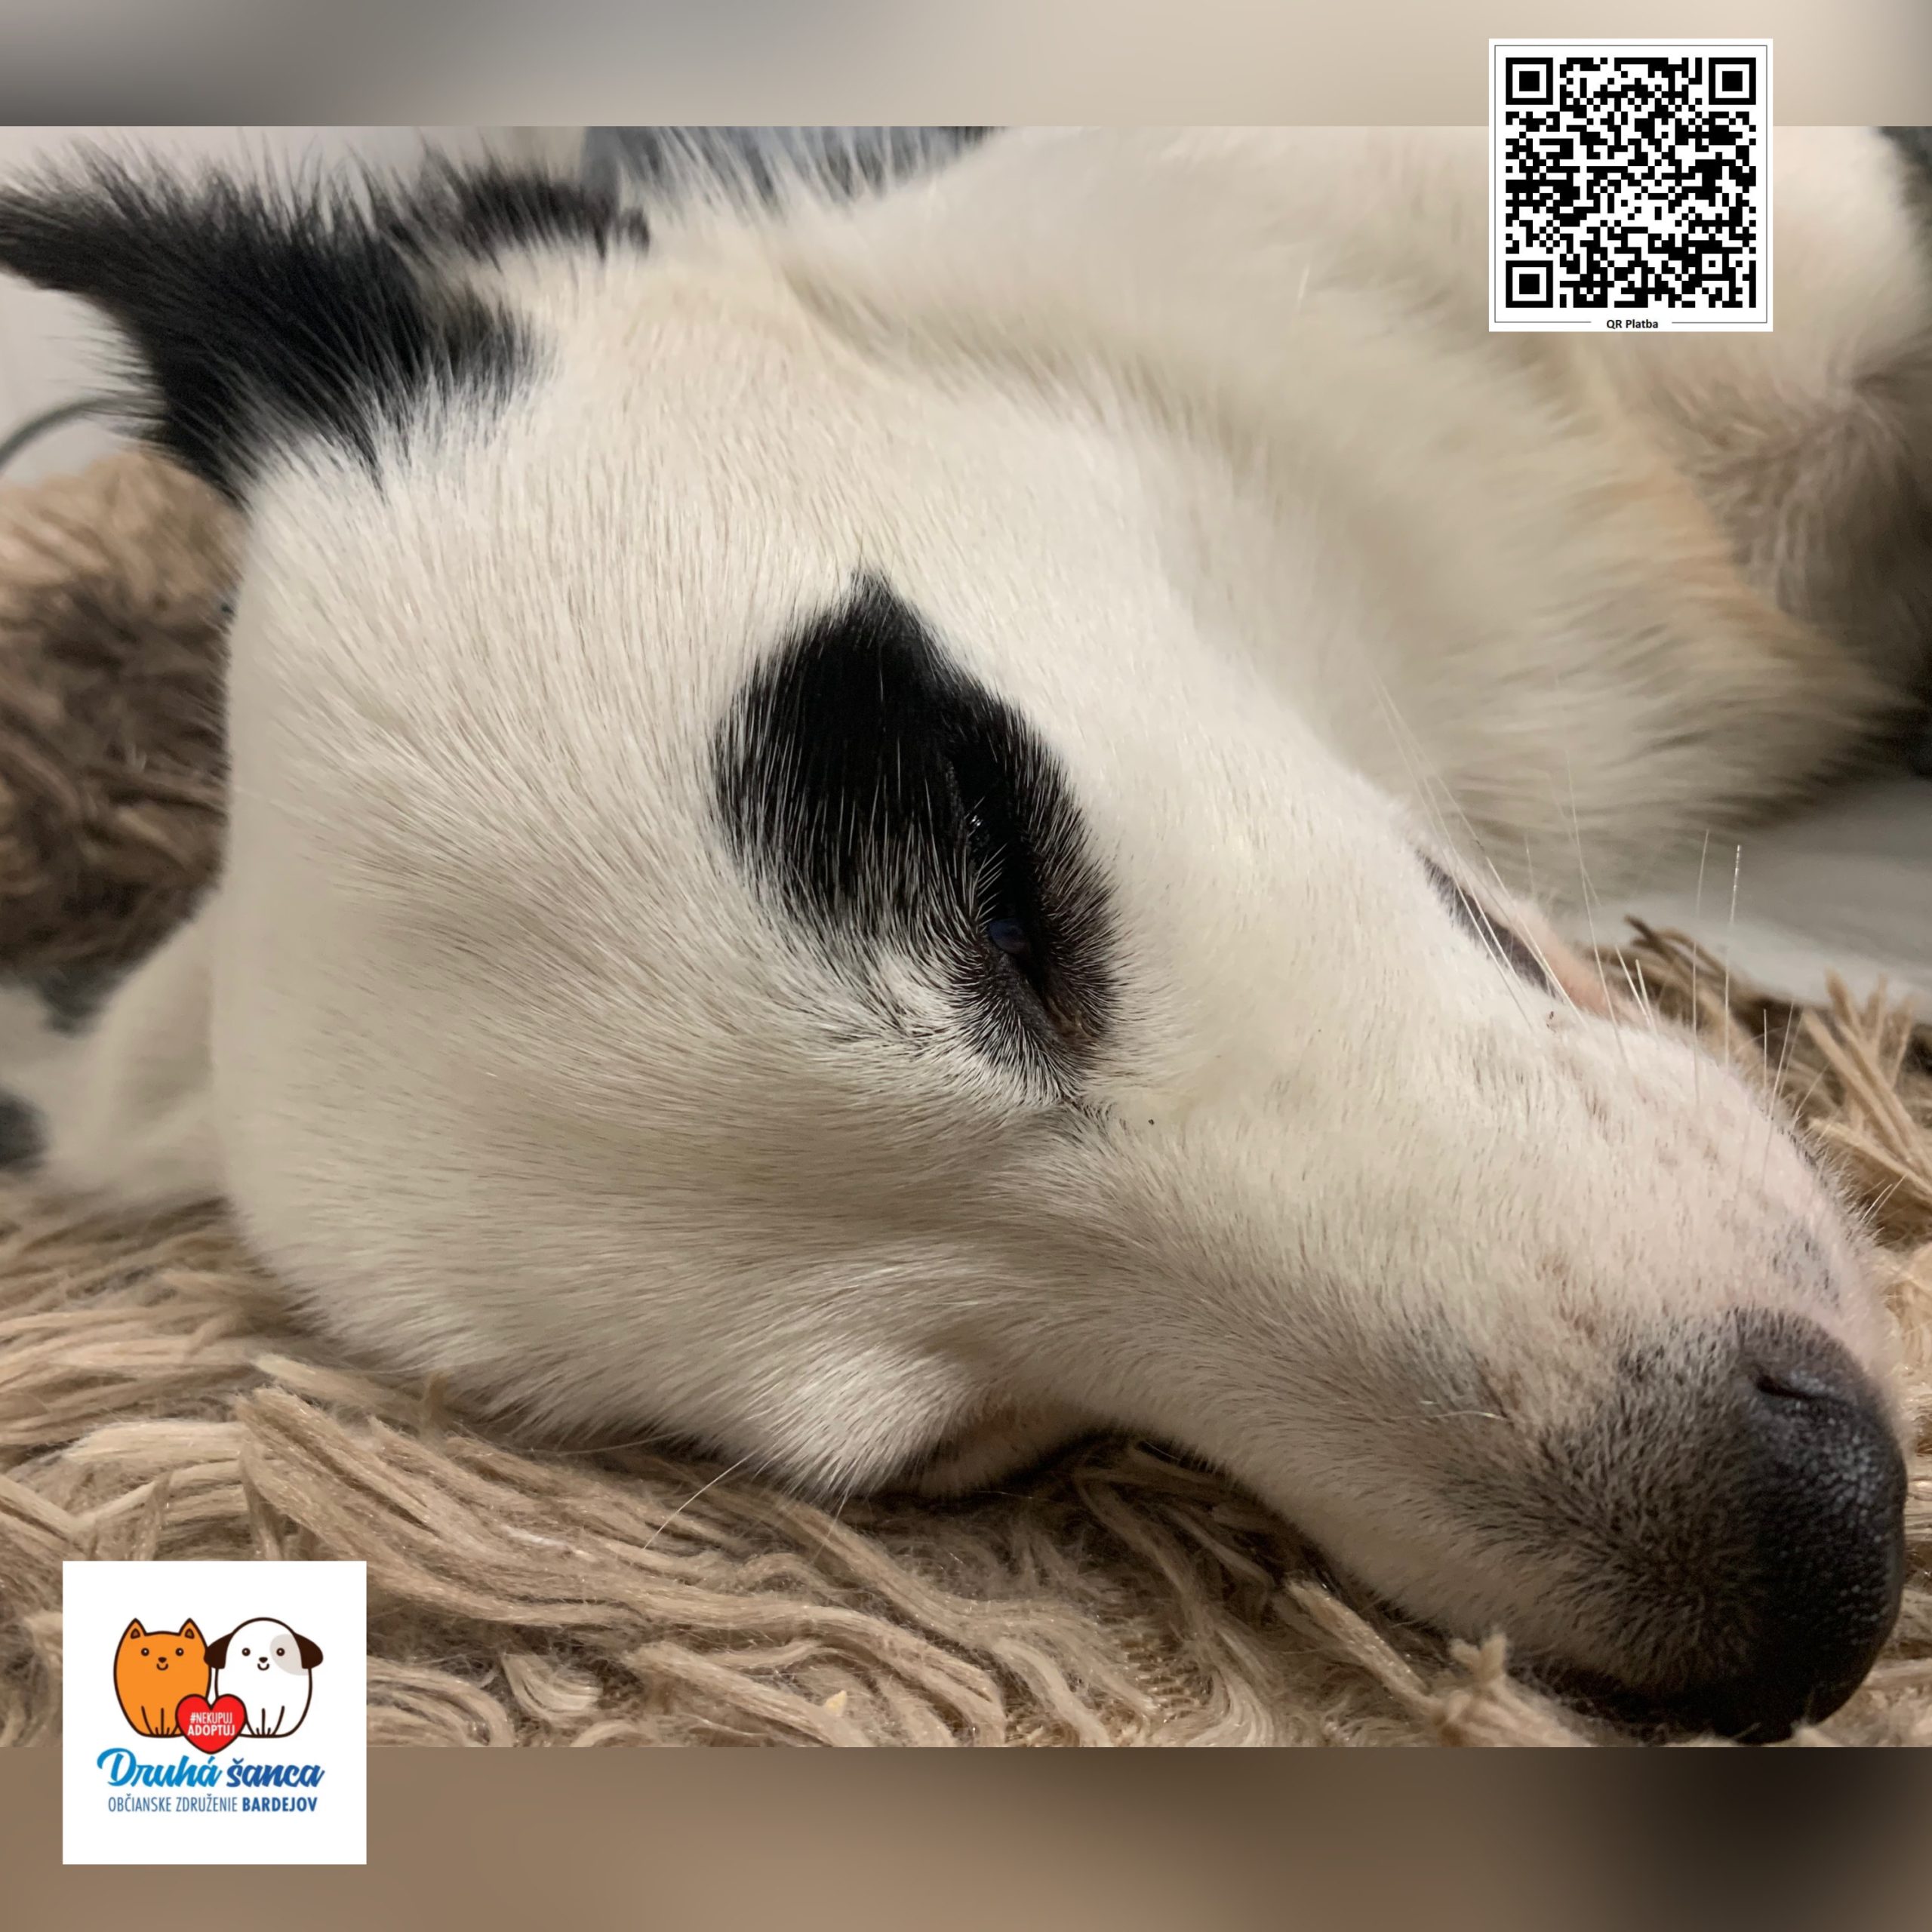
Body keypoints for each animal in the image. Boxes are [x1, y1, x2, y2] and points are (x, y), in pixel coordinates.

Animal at [204, 1617, 323, 1738]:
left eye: (280, 1651)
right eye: (245, 1651)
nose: (263, 1659)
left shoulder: (281, 1705)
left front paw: (268, 1730)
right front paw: (258, 1730)